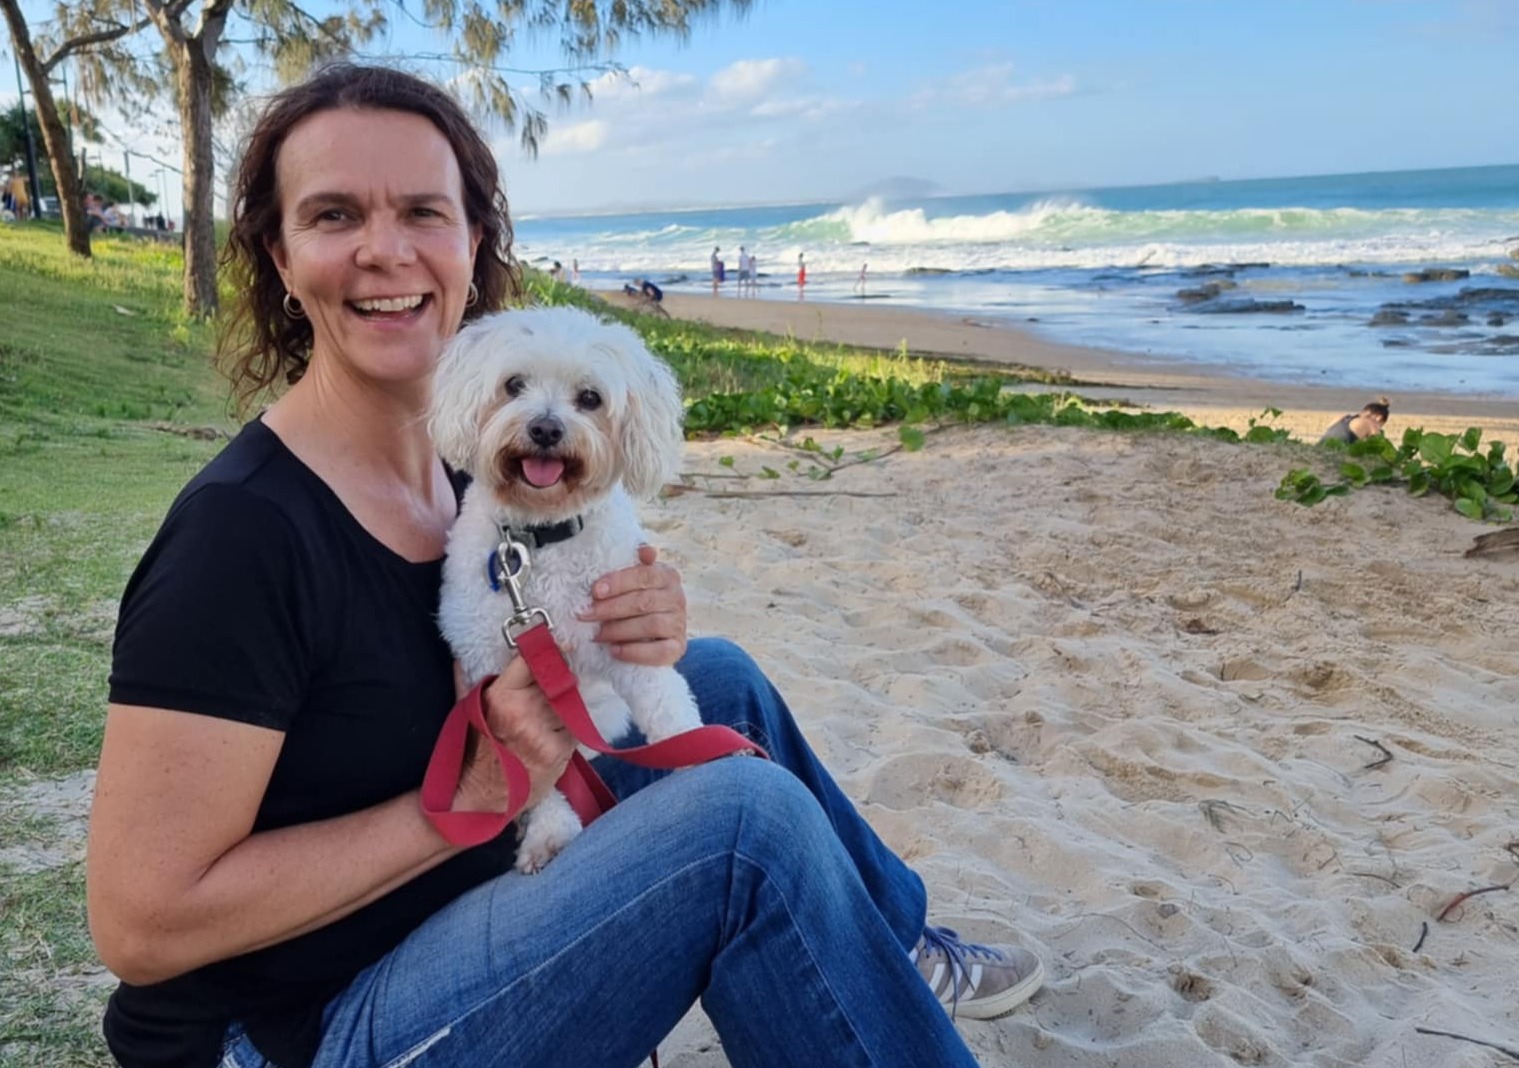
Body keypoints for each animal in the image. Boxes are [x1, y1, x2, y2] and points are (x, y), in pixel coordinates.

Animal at [430, 306, 700, 873]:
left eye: (590, 398)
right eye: (513, 385)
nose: (545, 428)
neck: (541, 536)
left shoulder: (627, 638)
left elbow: (669, 710)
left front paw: (708, 758)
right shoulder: (496, 677)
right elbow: (537, 777)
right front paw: (549, 832)